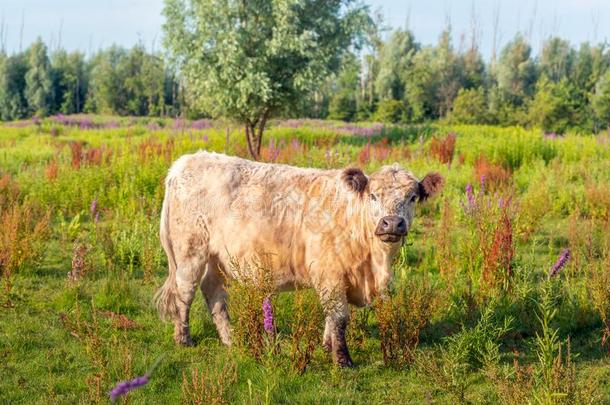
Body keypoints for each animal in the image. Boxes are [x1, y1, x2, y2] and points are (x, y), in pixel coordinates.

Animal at [153, 152, 442, 366]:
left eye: (412, 197)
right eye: (373, 196)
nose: (391, 223)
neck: (374, 263)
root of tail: (187, 160)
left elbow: (331, 317)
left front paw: (326, 346)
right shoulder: (329, 272)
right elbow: (339, 317)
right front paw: (343, 361)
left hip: (217, 258)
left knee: (213, 293)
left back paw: (230, 339)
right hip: (190, 251)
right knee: (185, 292)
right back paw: (184, 338)